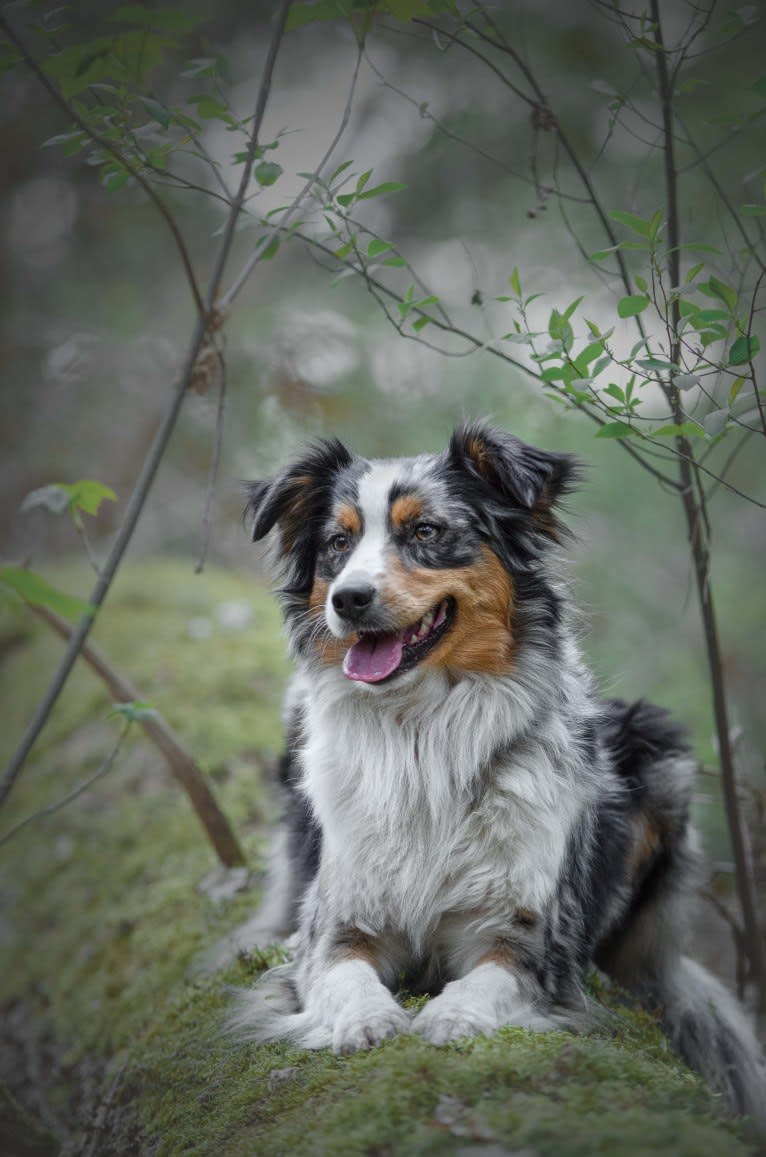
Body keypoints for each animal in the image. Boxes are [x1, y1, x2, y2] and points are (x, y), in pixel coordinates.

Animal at [236, 423, 766, 1119]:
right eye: (337, 543)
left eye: (426, 531)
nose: (349, 600)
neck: (422, 732)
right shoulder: (339, 923)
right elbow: (341, 974)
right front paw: (367, 1020)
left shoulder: (527, 938)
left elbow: (488, 980)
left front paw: (450, 1017)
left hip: (659, 752)